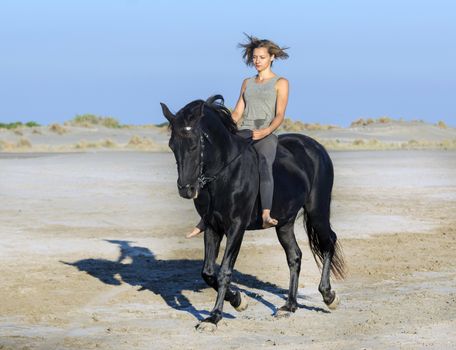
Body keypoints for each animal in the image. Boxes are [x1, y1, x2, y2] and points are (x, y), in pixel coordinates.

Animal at [162, 95, 344, 330]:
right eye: (172, 145)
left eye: (194, 144)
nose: (186, 189)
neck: (225, 174)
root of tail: (315, 146)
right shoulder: (212, 226)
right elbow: (208, 272)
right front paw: (238, 300)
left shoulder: (236, 227)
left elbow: (224, 271)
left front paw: (214, 317)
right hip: (284, 223)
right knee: (295, 256)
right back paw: (289, 306)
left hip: (317, 210)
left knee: (328, 241)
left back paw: (329, 296)